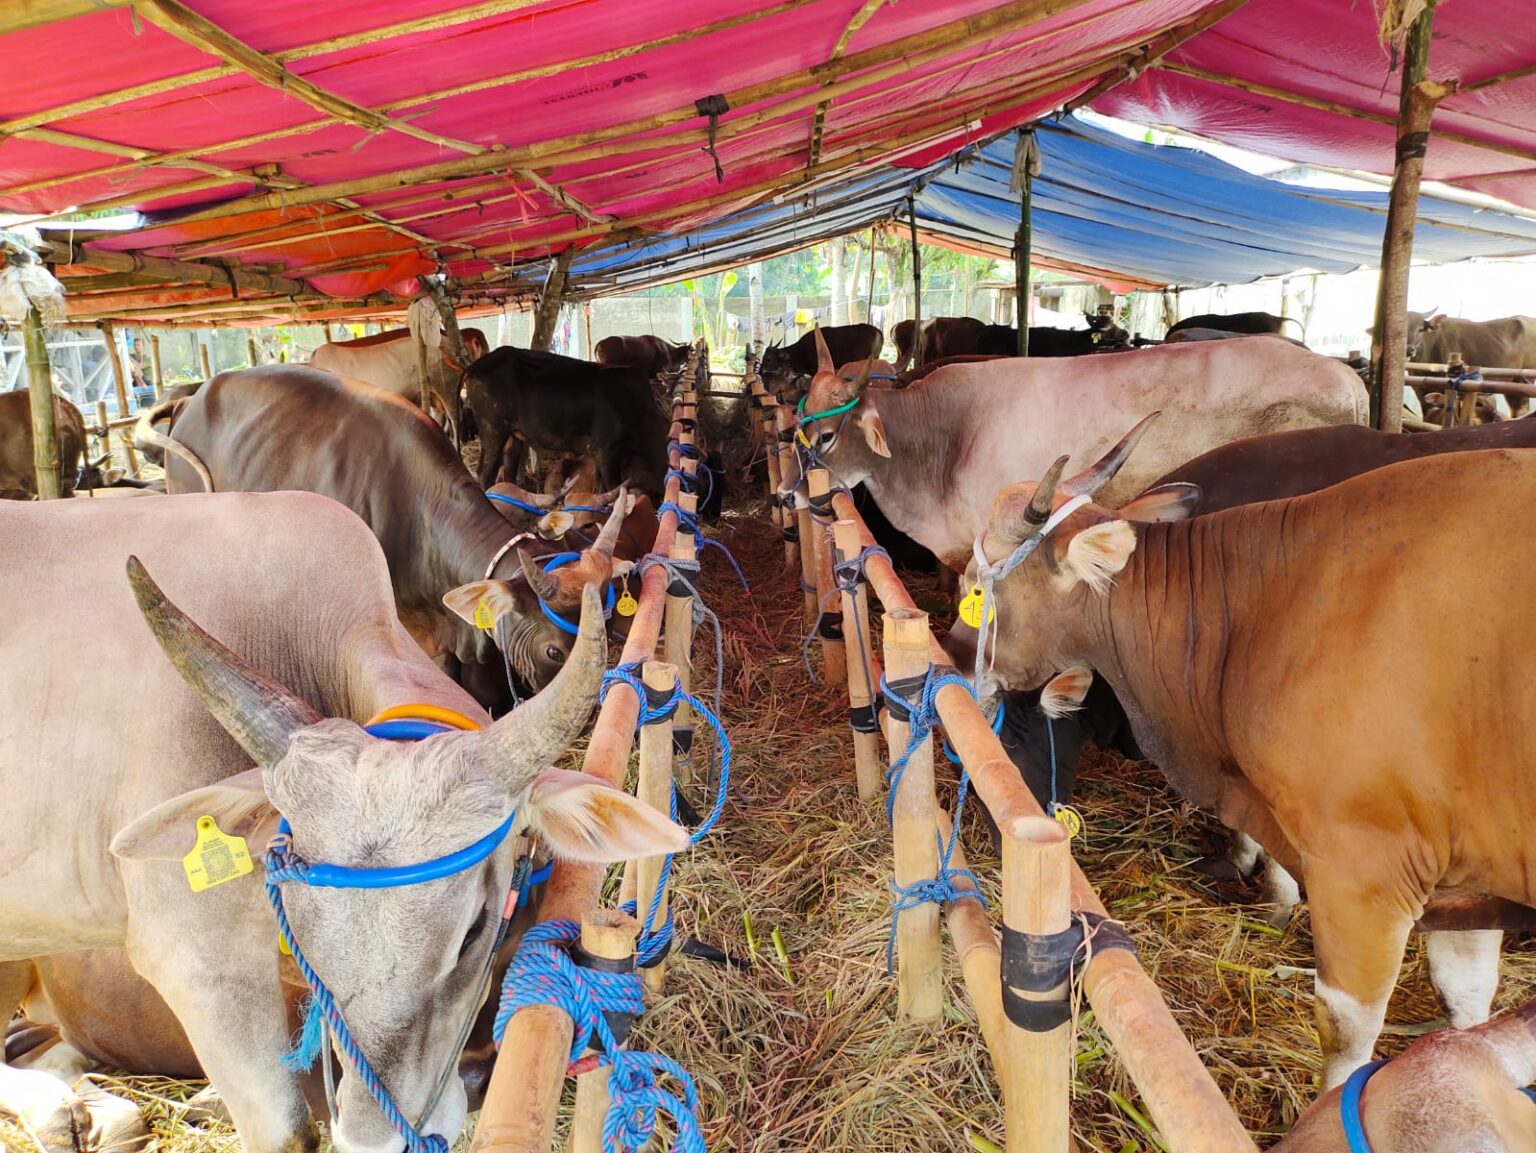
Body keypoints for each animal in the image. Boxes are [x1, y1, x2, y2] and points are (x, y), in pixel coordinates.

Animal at [460, 350, 666, 497]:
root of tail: (476, 365)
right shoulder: (605, 451)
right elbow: (612, 488)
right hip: (493, 431)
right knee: (485, 472)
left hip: (512, 435)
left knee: (508, 470)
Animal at [952, 436, 1536, 1093]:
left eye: (974, 588)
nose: (951, 657)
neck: (1258, 609)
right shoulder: (1470, 880)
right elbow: (1467, 1001)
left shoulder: (1362, 871)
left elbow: (1347, 1030)